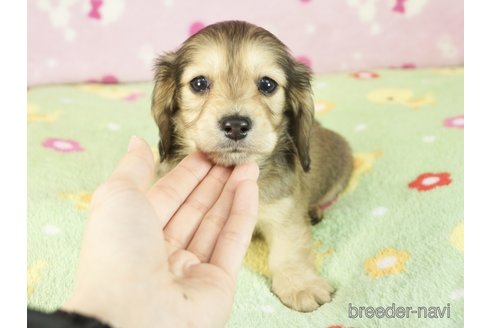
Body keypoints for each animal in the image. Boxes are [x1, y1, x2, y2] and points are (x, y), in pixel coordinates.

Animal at [151, 20, 354, 312]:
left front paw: (299, 284)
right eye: (199, 83)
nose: (236, 125)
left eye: (267, 84)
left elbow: (289, 250)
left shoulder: (285, 213)